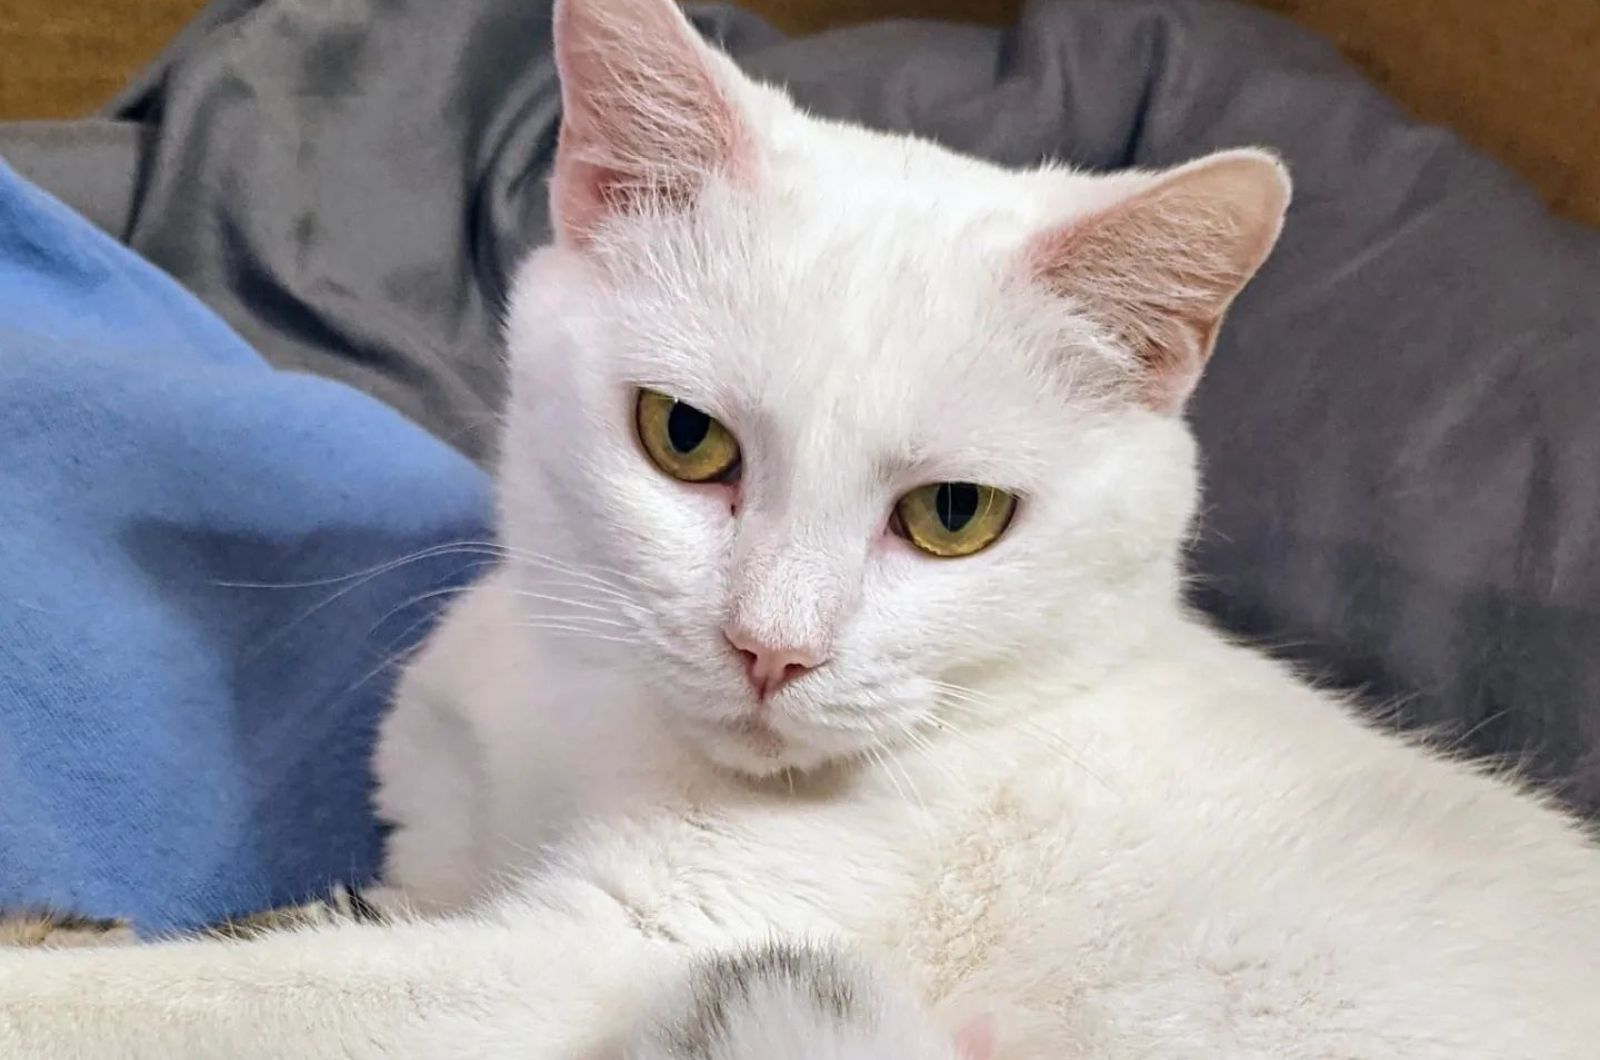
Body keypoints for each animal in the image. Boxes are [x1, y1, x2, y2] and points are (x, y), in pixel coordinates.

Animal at [3, 0, 1600, 1056]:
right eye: (684, 438)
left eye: (955, 517)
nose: (771, 648)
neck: (586, 716)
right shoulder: (429, 866)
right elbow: (305, 928)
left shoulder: (604, 961)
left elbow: (226, 998)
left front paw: (58, 978)